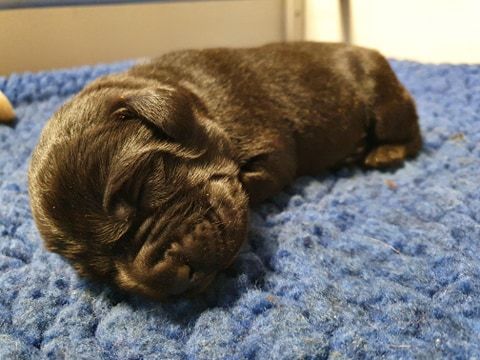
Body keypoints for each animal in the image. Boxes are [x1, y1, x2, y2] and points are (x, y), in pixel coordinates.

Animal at [28, 42, 422, 300]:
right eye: (96, 270)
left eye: (138, 187)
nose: (169, 279)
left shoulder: (271, 149)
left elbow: (252, 182)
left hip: (383, 98)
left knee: (411, 133)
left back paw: (381, 152)